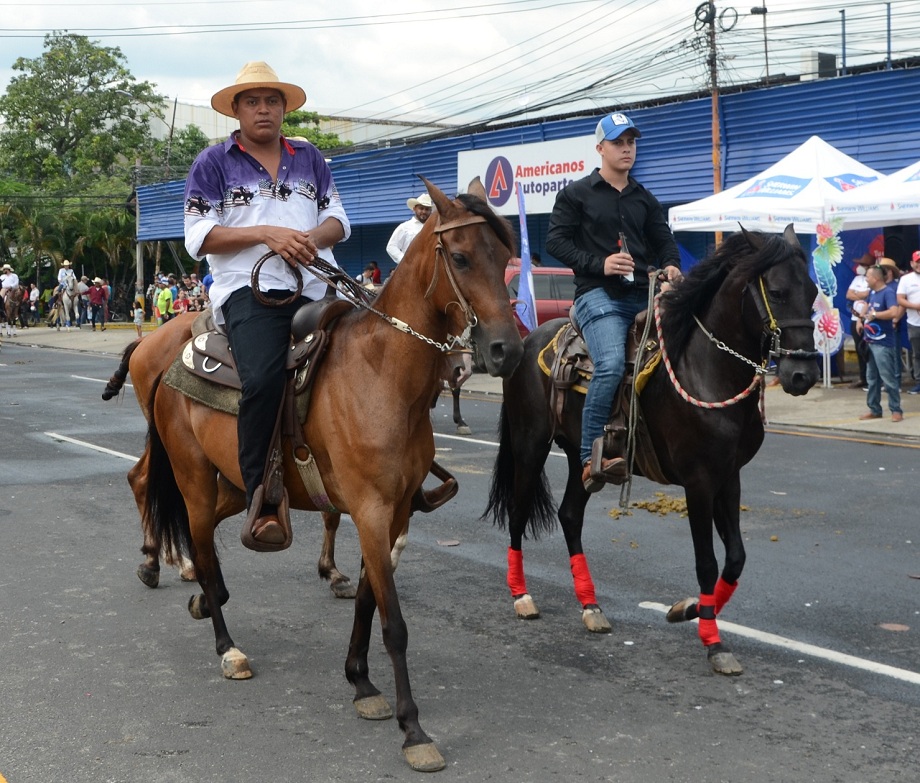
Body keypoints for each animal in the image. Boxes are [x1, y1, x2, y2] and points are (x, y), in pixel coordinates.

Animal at [101, 179, 524, 772]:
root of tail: (165, 357)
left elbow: (370, 601)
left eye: (506, 257)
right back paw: (223, 640)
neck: (383, 374)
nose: (506, 350)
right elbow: (394, 623)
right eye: (460, 257)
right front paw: (413, 728)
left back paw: (198, 594)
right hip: (194, 478)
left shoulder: (394, 513)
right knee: (195, 540)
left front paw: (361, 683)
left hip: (237, 487)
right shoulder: (369, 510)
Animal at [482, 225, 820, 672]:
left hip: (581, 458)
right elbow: (707, 562)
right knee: (518, 513)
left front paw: (689, 609)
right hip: (530, 446)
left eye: (814, 292)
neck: (706, 369)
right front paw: (714, 642)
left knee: (570, 515)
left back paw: (591, 606)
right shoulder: (699, 481)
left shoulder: (728, 476)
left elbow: (735, 558)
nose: (803, 373)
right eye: (778, 292)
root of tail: (528, 339)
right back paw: (522, 596)